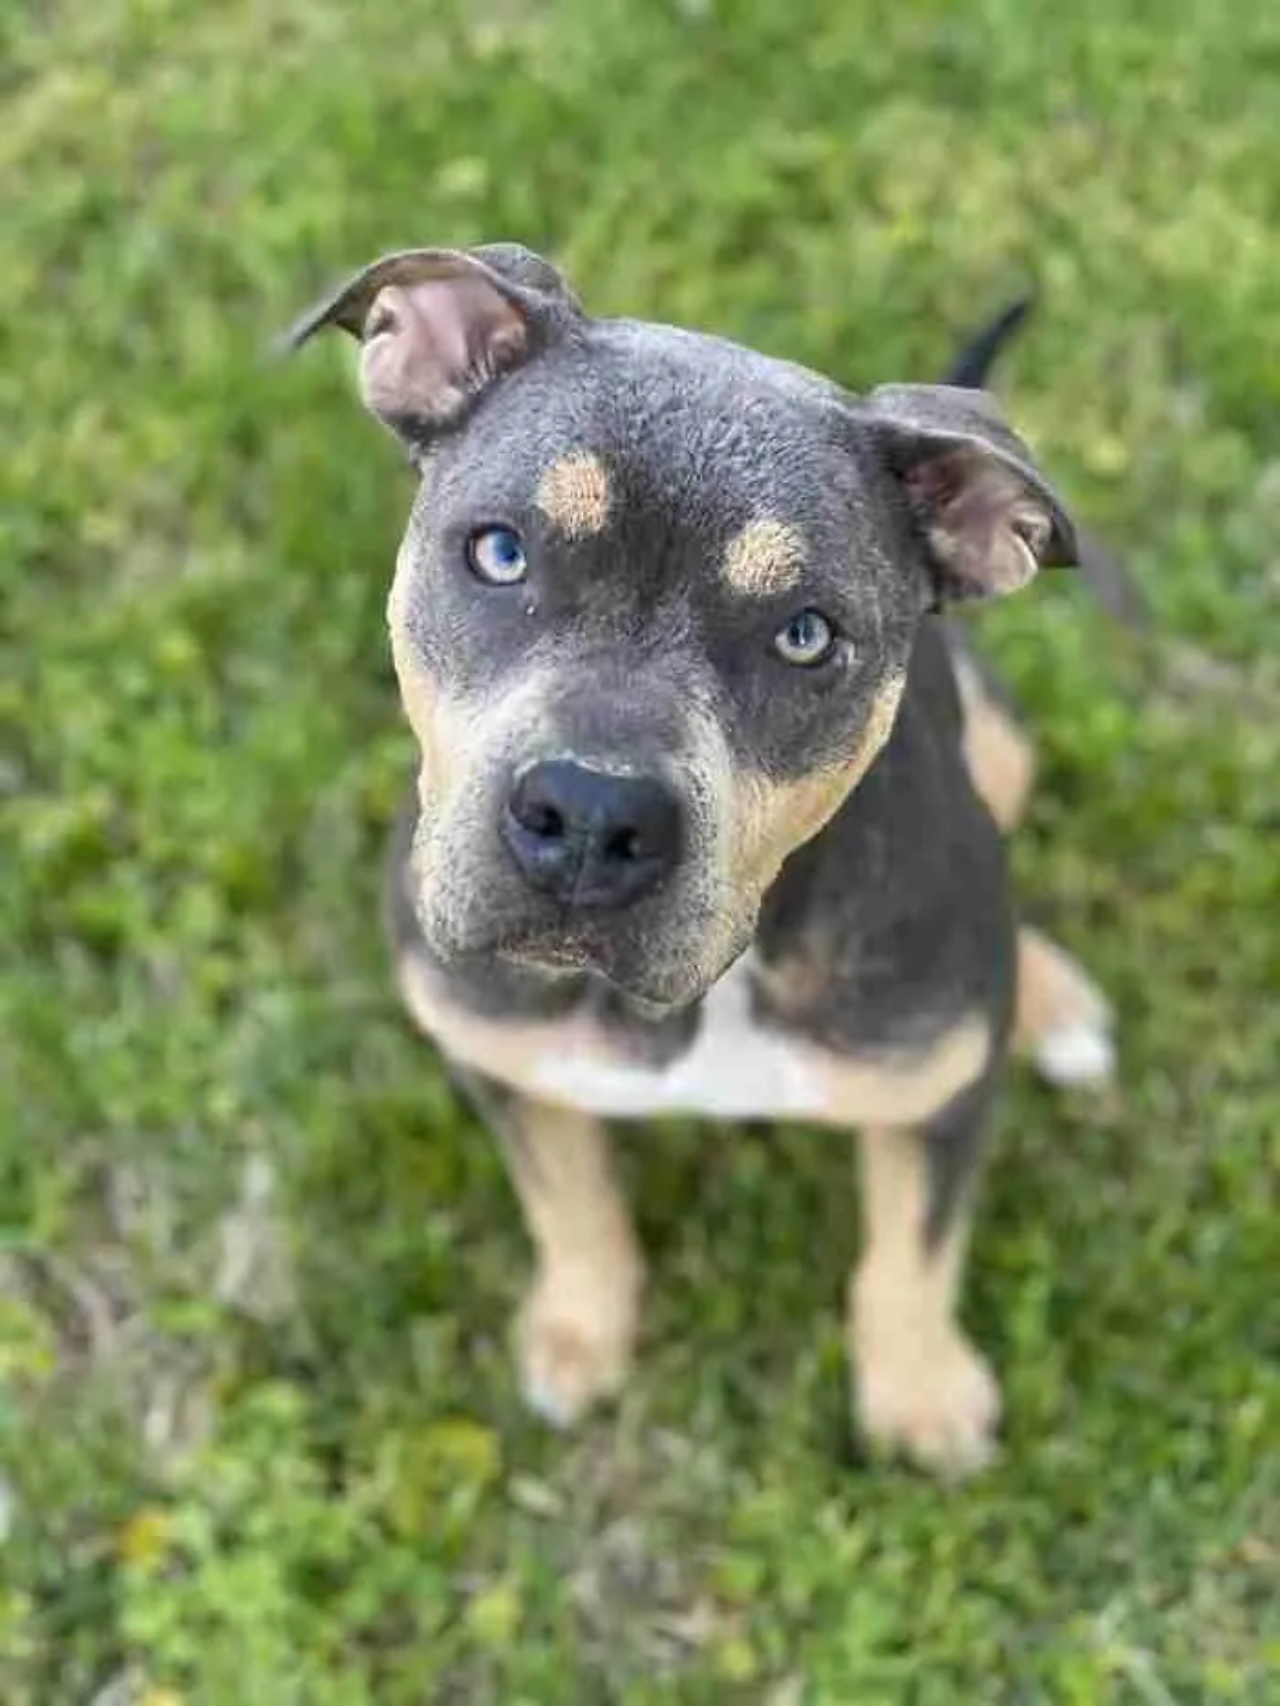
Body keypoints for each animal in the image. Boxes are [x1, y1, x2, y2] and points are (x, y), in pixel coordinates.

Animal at [288, 243, 1112, 1480]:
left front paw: (918, 1392)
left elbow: (911, 1250)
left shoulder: (938, 1100)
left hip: (1000, 746)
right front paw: (579, 1331)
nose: (589, 814)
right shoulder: (494, 1053)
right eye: (499, 551)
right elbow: (569, 1203)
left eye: (805, 635)